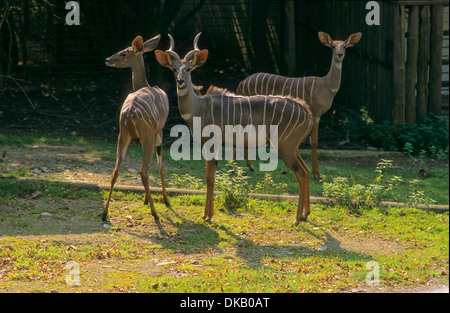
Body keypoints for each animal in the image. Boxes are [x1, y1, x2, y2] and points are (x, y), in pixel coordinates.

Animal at [102, 34, 171, 221]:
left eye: (124, 53)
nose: (107, 59)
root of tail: (129, 112)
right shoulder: (159, 131)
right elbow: (160, 163)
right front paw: (165, 200)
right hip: (147, 137)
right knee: (144, 171)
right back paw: (155, 213)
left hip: (123, 136)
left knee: (115, 171)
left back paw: (104, 214)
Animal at [155, 33, 312, 224]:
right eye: (174, 69)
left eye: (189, 69)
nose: (180, 81)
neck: (199, 107)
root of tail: (306, 112)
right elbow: (209, 176)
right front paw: (206, 214)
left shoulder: (212, 143)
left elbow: (210, 178)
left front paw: (208, 216)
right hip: (293, 147)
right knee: (307, 171)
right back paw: (305, 214)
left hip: (285, 147)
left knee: (301, 173)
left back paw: (296, 219)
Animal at [236, 32, 362, 178]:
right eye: (332, 46)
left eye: (345, 46)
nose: (339, 54)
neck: (326, 86)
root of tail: (241, 84)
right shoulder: (314, 113)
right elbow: (314, 142)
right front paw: (316, 175)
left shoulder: (318, 116)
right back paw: (247, 166)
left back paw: (250, 167)